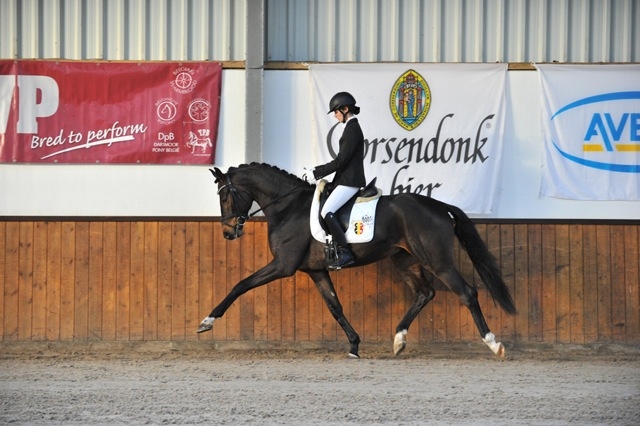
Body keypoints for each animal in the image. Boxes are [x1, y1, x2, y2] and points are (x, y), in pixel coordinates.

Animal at [198, 163, 516, 360]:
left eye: (225, 198)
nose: (228, 232)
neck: (288, 207)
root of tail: (439, 206)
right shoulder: (316, 270)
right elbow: (335, 307)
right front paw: (354, 345)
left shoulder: (283, 265)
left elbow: (240, 285)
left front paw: (207, 322)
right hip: (405, 260)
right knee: (425, 294)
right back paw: (398, 340)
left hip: (437, 261)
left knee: (467, 293)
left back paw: (494, 344)